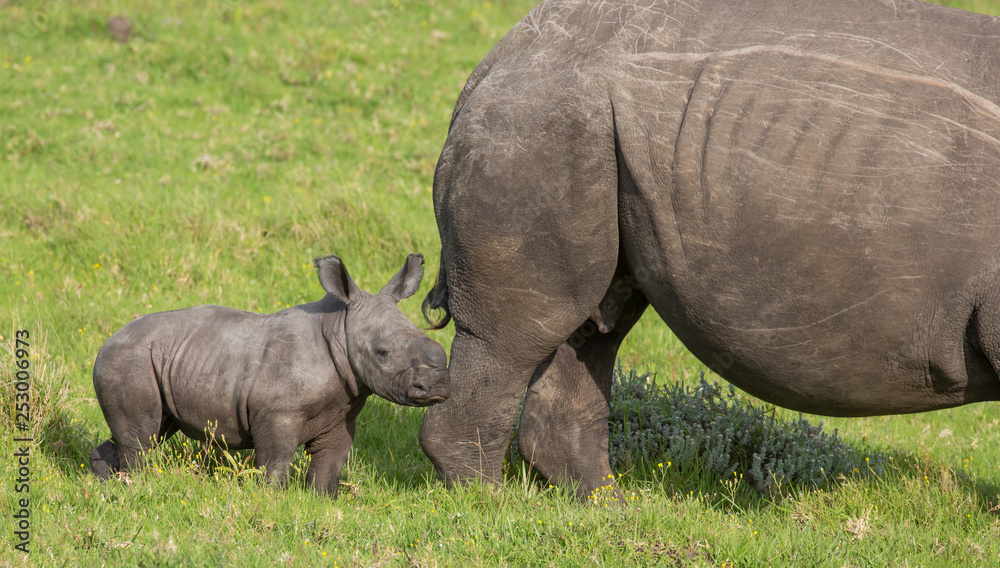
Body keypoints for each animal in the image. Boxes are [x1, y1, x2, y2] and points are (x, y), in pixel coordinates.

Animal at [90, 253, 449, 497]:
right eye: (382, 353)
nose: (437, 385)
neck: (339, 330)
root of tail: (108, 340)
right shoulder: (278, 412)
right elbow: (275, 460)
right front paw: (273, 497)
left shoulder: (342, 411)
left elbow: (330, 464)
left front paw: (323, 500)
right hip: (129, 360)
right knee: (142, 436)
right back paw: (140, 483)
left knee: (152, 429)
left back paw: (107, 483)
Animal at [418, 0, 1000, 499]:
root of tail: (494, 60)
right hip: (539, 124)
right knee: (523, 331)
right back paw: (489, 504)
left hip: (585, 127)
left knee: (594, 326)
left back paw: (607, 508)